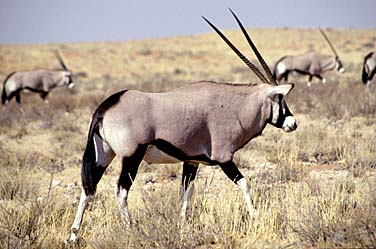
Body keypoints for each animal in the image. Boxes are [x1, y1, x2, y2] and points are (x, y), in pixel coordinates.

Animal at [69, 9, 298, 243]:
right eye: (280, 98)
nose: (293, 123)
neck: (236, 106)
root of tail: (106, 107)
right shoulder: (224, 158)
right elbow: (244, 183)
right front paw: (256, 218)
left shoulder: (191, 161)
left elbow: (186, 192)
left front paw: (181, 227)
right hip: (131, 156)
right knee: (121, 191)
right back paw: (130, 229)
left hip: (104, 155)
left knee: (88, 188)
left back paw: (74, 235)